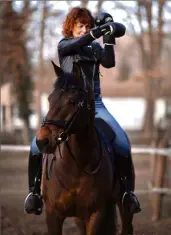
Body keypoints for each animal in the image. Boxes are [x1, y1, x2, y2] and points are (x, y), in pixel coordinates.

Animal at [36, 61, 134, 234]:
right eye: (49, 99)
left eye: (72, 101)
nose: (42, 141)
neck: (76, 166)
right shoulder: (53, 214)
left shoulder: (95, 213)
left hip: (124, 207)